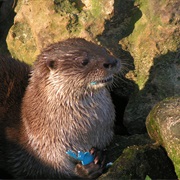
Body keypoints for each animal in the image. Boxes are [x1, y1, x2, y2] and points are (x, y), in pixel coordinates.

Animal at [0, 38, 121, 179]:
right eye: (83, 62)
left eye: (104, 50)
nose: (112, 61)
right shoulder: (42, 154)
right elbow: (54, 172)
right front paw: (85, 170)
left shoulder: (105, 134)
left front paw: (98, 154)